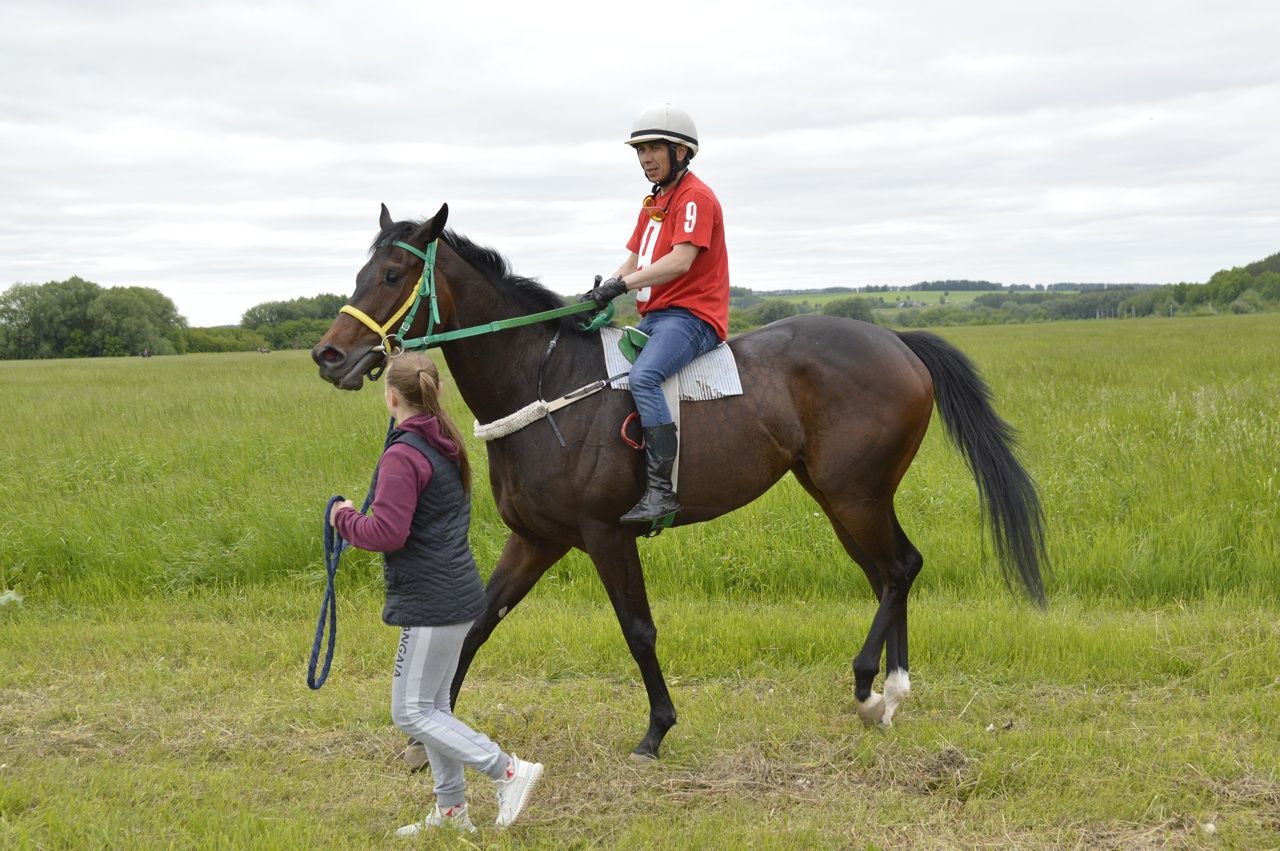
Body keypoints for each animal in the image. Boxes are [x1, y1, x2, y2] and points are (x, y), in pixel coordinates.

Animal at [312, 204, 1049, 757]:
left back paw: (873, 686)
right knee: (887, 574)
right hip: (841, 496)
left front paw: (656, 730)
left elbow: (638, 629)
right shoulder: (536, 539)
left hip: (854, 494)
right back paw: (889, 694)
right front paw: (428, 736)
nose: (329, 355)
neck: (544, 381)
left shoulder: (606, 535)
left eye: (393, 272)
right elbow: (477, 625)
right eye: (362, 270)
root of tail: (896, 340)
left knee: (900, 567)